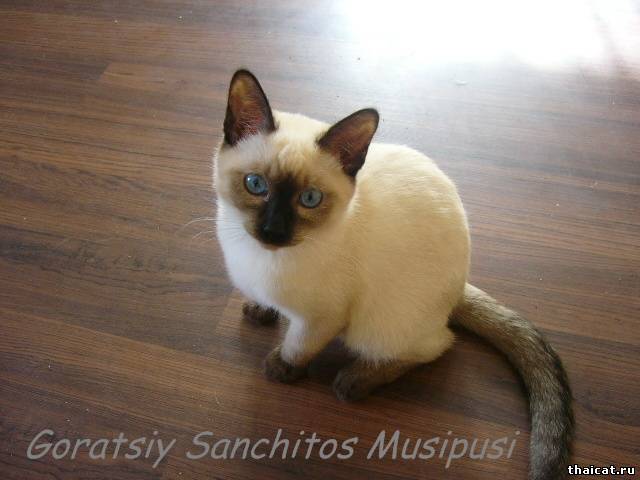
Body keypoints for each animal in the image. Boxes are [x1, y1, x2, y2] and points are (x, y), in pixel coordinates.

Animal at [214, 70, 573, 480]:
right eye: (255, 185)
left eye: (309, 200)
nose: (273, 232)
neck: (260, 258)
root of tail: (459, 288)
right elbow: (265, 305)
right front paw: (259, 311)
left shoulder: (322, 318)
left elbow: (297, 346)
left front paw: (281, 369)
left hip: (376, 328)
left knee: (436, 345)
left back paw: (353, 382)